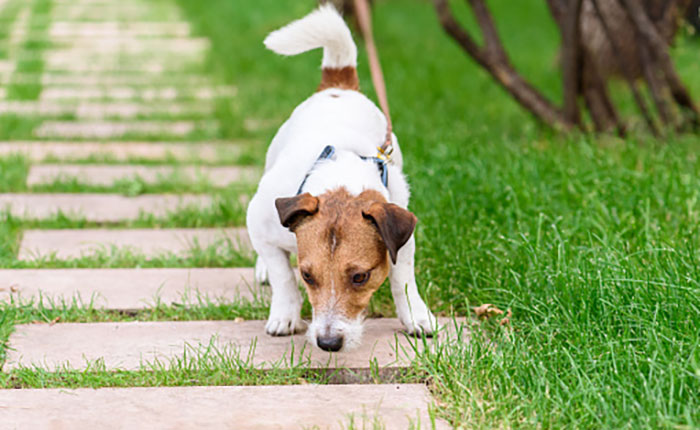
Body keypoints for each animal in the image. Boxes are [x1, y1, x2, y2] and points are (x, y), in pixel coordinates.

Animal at [243, 4, 434, 352]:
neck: (342, 175)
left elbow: (403, 278)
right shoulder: (259, 218)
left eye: (360, 277)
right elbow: (282, 274)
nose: (328, 343)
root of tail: (338, 86)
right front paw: (285, 314)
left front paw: (416, 316)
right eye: (308, 276)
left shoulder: (403, 232)